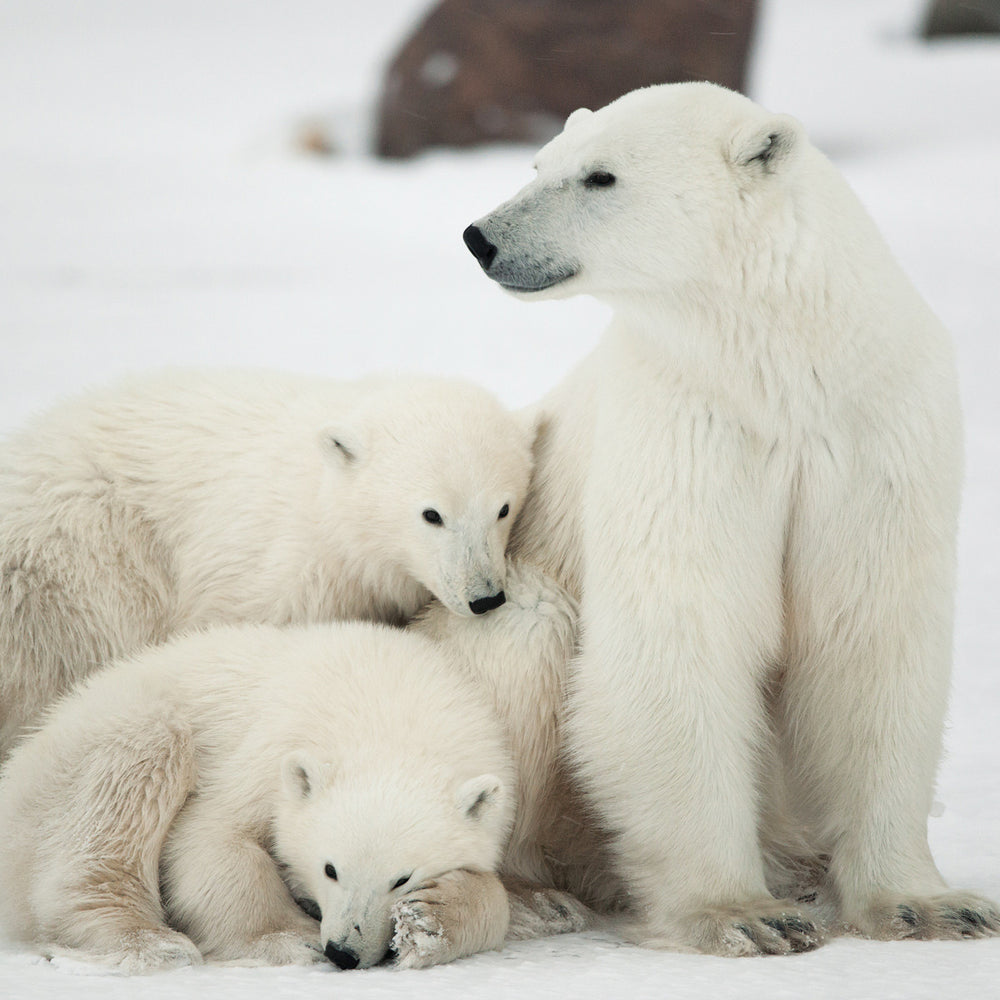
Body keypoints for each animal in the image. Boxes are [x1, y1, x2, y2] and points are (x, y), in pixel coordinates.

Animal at [0, 620, 516, 972]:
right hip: (82, 754)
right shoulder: (270, 744)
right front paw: (291, 939)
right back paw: (151, 941)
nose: (344, 952)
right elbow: (211, 839)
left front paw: (429, 922)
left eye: (401, 878)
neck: (390, 706)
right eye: (329, 869)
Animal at [457, 82, 1000, 954]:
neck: (780, 363)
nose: (482, 237)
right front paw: (744, 914)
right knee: (527, 636)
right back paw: (530, 896)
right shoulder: (688, 425)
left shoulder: (874, 430)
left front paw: (929, 906)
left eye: (600, 176)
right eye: (539, 163)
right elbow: (683, 632)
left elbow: (869, 637)